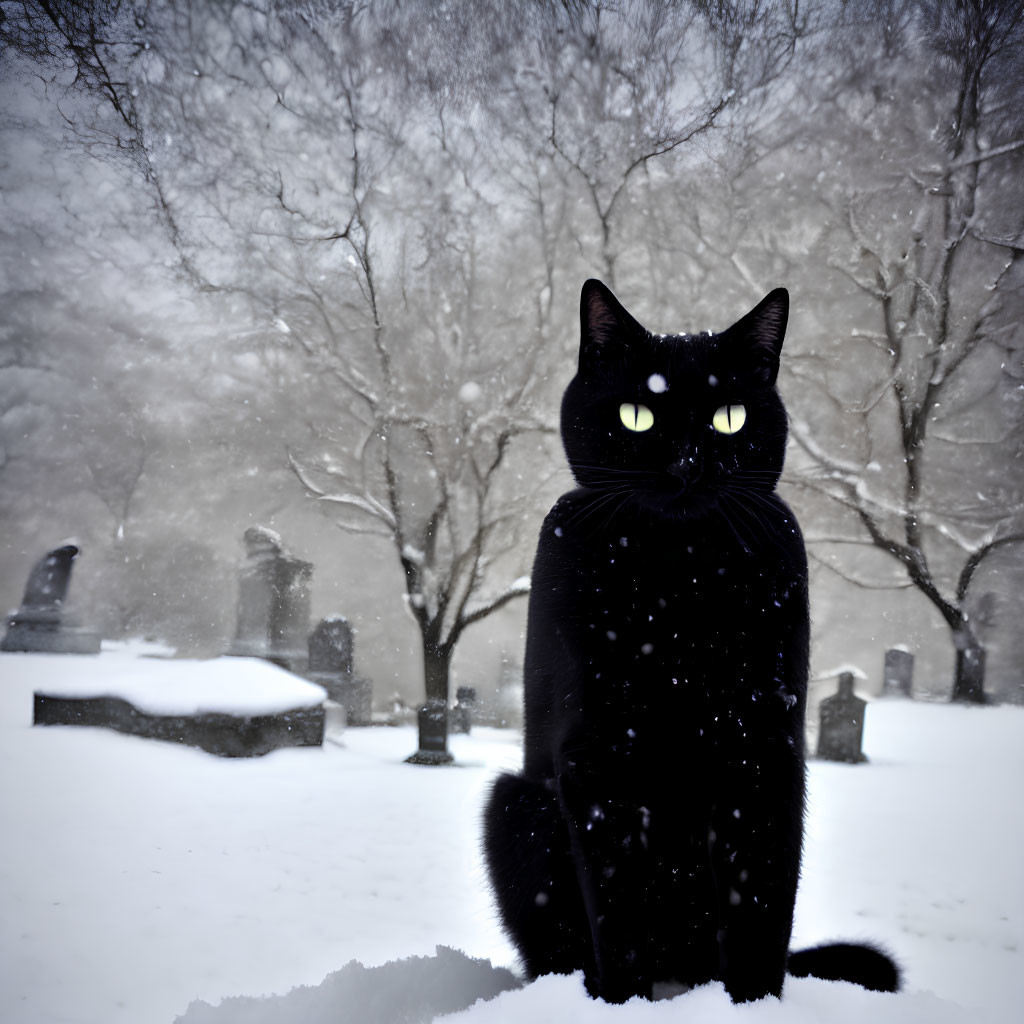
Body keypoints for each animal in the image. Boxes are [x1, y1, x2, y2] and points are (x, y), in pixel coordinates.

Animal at [481, 284, 897, 1003]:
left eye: (729, 418)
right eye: (637, 415)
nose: (684, 467)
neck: (679, 577)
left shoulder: (763, 747)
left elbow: (757, 901)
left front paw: (753, 1005)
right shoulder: (598, 755)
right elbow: (616, 908)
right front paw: (620, 1004)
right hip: (514, 803)